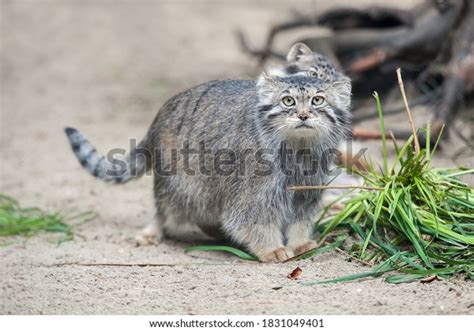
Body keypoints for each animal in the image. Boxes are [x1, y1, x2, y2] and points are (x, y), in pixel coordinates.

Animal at [65, 43, 350, 262]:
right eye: (288, 100)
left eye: (318, 100)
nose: (303, 115)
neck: (298, 150)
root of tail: (157, 119)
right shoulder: (253, 192)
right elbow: (252, 219)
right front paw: (271, 248)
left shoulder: (308, 190)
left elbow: (300, 219)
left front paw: (300, 243)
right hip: (181, 182)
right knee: (167, 208)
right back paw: (156, 229)